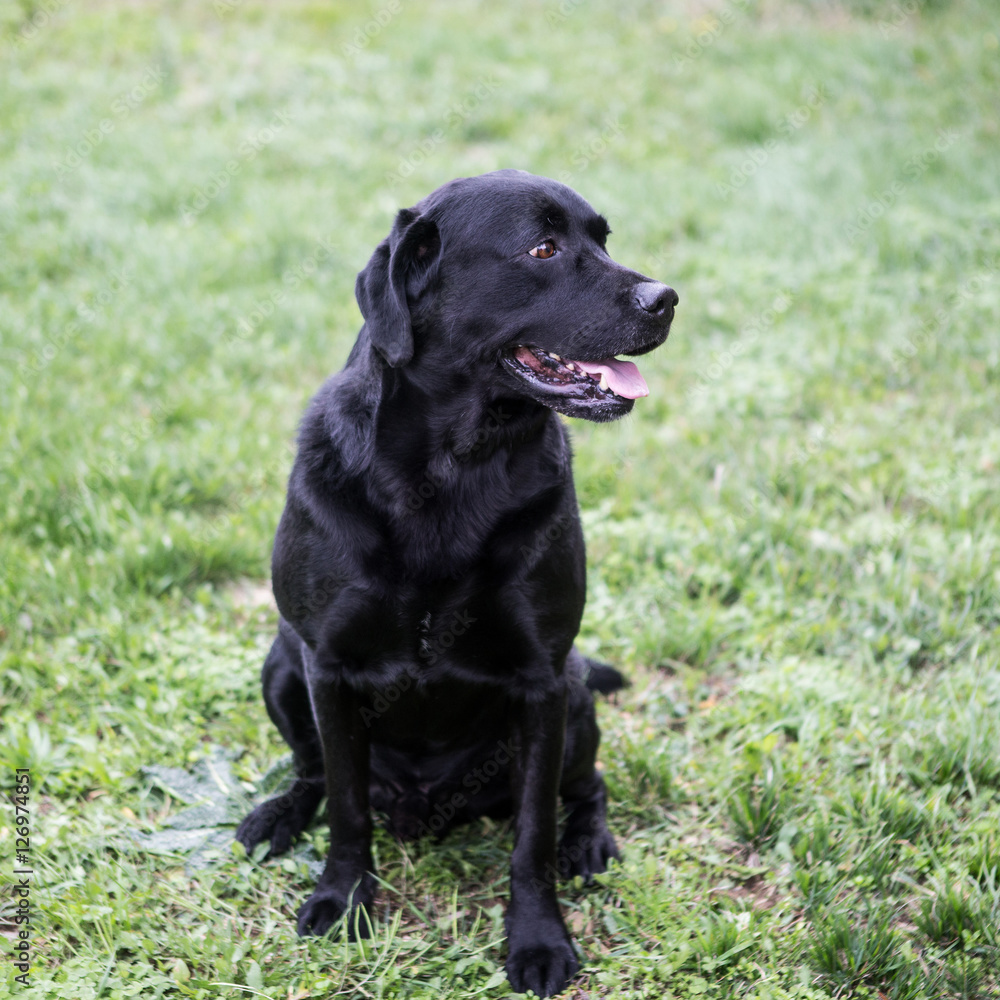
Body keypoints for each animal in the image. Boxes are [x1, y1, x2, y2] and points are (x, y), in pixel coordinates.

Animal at [235, 170, 676, 992]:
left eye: (604, 239)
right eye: (543, 248)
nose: (666, 298)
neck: (450, 470)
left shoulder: (542, 679)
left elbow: (532, 836)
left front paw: (538, 939)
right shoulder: (326, 665)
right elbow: (345, 805)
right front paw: (342, 900)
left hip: (575, 696)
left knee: (585, 789)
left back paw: (590, 842)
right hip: (281, 666)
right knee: (313, 774)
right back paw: (278, 816)